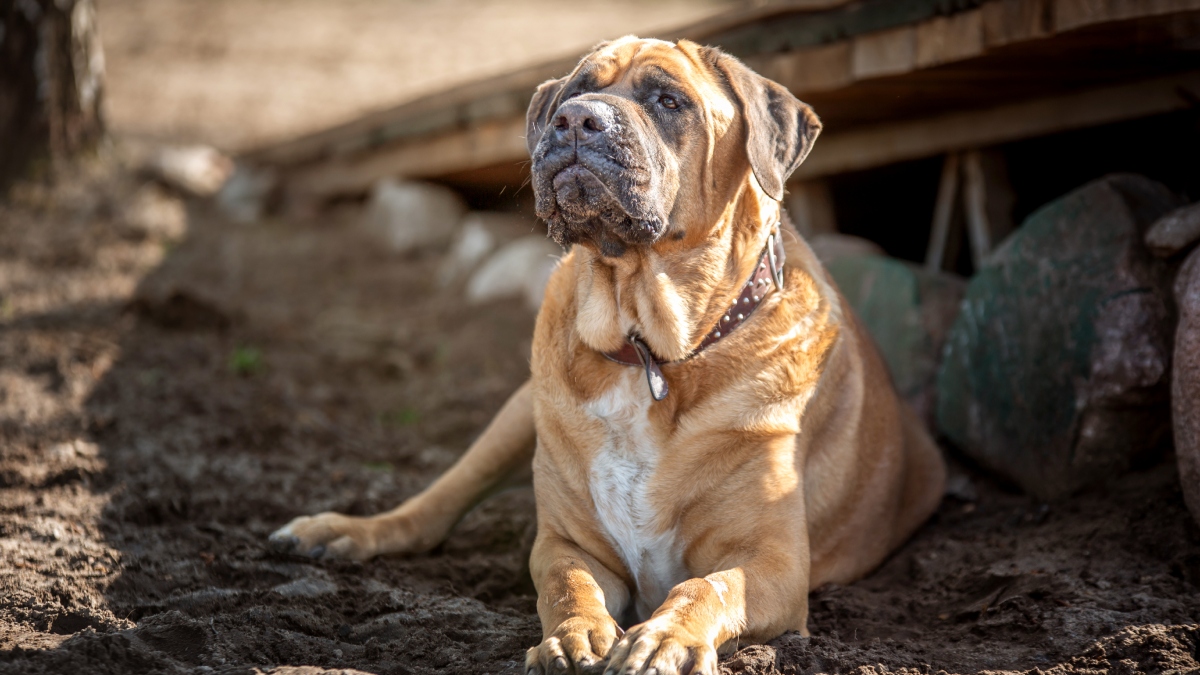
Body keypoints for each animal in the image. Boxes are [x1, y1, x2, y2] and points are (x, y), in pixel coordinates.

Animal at [274, 35, 945, 672]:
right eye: (577, 88)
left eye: (669, 101)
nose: (576, 119)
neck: (649, 348)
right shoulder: (567, 543)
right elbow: (567, 584)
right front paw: (573, 637)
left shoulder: (772, 562)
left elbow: (709, 587)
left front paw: (665, 640)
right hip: (517, 417)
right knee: (434, 504)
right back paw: (339, 531)